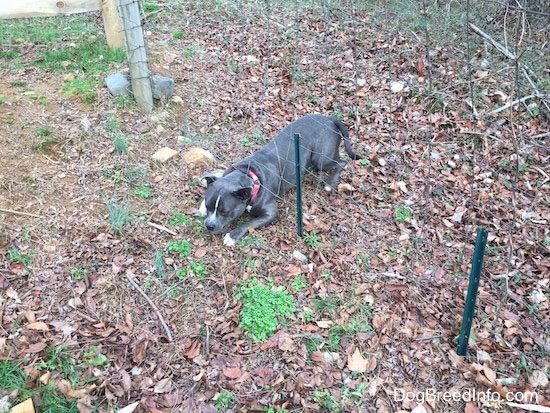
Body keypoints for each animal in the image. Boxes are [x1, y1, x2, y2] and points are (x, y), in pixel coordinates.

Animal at [198, 113, 362, 245]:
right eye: (208, 206)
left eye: (226, 213)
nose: (209, 225)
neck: (248, 175)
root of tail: (329, 119)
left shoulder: (271, 213)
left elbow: (250, 223)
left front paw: (232, 236)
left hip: (321, 159)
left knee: (342, 162)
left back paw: (329, 183)